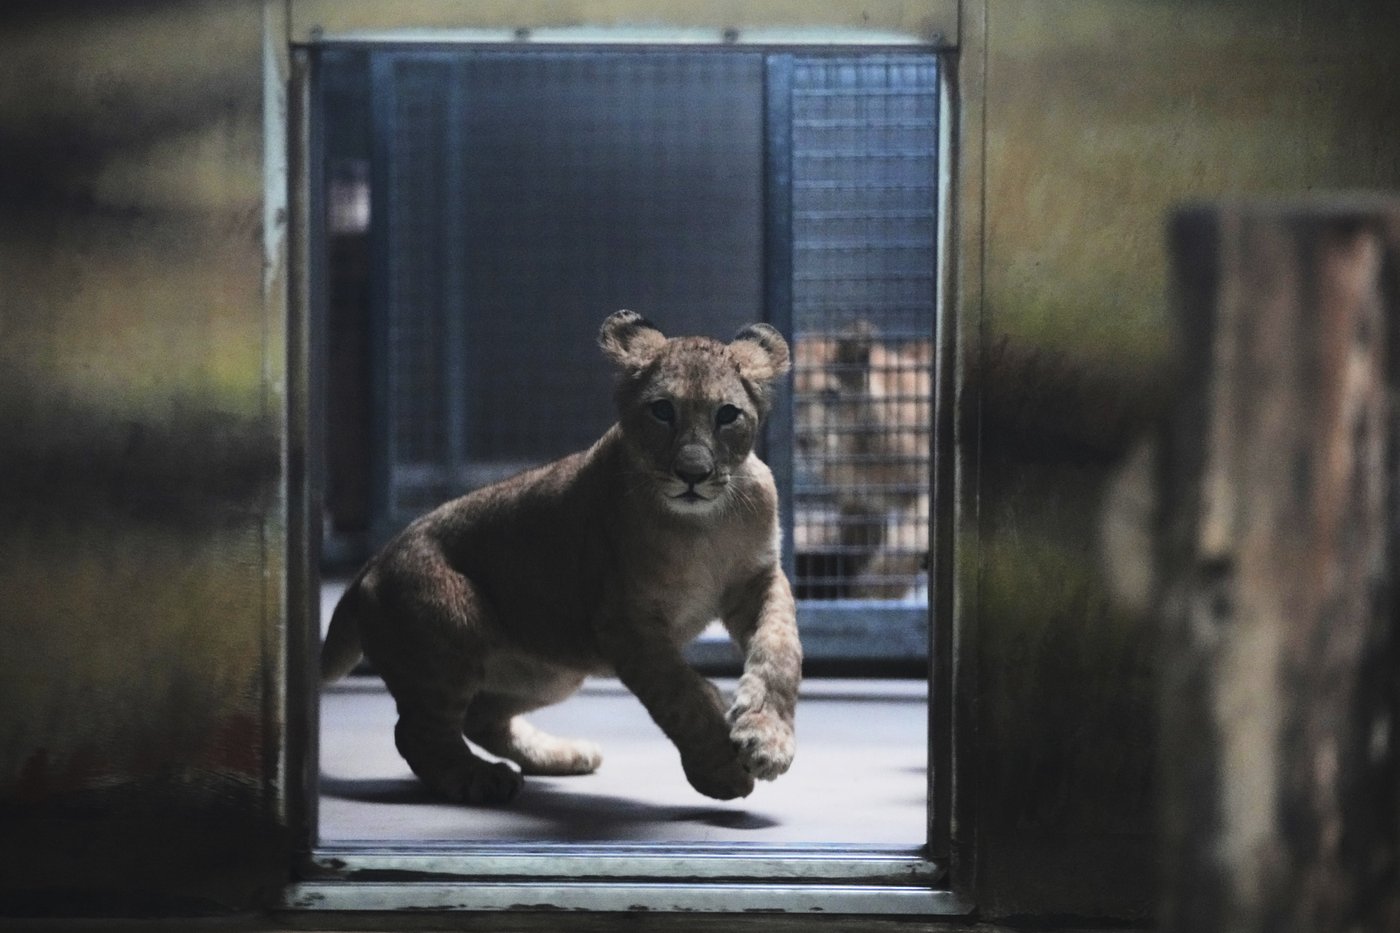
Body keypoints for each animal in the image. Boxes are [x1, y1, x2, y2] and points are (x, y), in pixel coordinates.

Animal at [321, 310, 801, 805]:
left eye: (727, 415)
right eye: (662, 410)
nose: (693, 474)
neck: (703, 525)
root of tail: (371, 565)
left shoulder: (759, 579)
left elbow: (780, 650)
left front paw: (766, 739)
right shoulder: (622, 622)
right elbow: (679, 691)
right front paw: (720, 767)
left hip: (551, 671)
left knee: (480, 717)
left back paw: (562, 754)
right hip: (450, 624)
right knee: (417, 733)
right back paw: (482, 778)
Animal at [793, 323, 931, 600]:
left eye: (830, 394)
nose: (804, 440)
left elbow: (906, 541)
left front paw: (873, 591)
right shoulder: (860, 506)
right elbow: (855, 549)